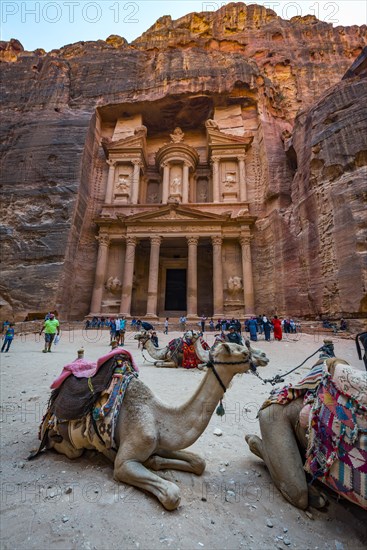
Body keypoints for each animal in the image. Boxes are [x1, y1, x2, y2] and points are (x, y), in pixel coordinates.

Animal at [36, 342, 268, 512]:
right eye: (244, 351)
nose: (264, 356)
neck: (160, 415)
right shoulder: (125, 462)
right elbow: (172, 494)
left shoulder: (160, 441)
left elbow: (199, 462)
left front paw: (153, 461)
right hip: (63, 438)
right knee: (70, 449)